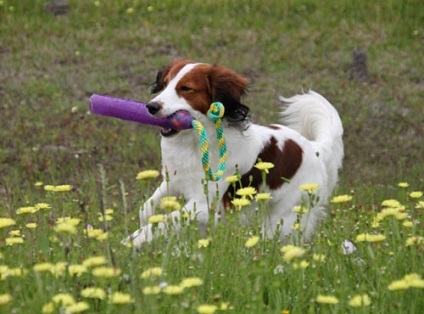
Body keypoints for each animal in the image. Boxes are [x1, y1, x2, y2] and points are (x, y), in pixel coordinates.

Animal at [124, 59, 342, 248]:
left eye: (186, 88)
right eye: (165, 84)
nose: (151, 106)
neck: (195, 141)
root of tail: (315, 149)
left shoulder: (205, 204)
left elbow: (168, 219)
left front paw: (136, 239)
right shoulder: (174, 181)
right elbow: (146, 209)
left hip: (284, 217)